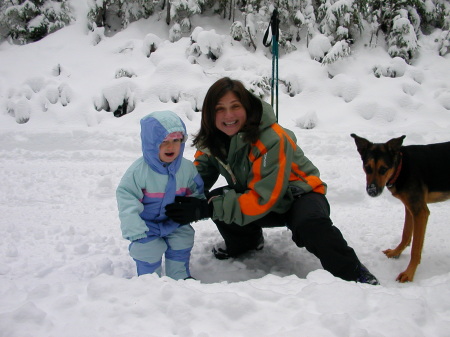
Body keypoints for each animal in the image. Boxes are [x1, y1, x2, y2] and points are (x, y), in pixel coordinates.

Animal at [352, 134, 450, 280]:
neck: (402, 168)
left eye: (383, 169)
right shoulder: (410, 208)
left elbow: (415, 248)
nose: (372, 191)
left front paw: (409, 273)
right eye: (367, 168)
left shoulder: (420, 212)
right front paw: (396, 252)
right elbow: (406, 234)